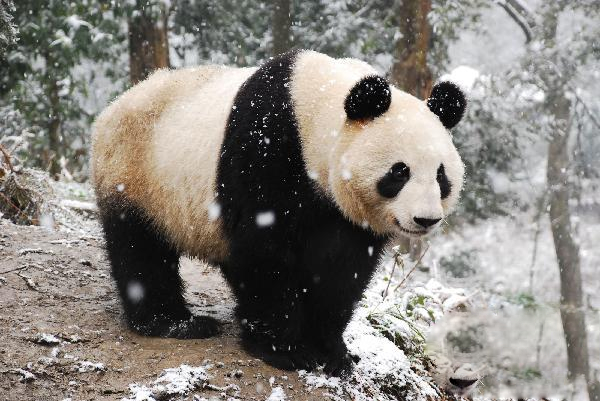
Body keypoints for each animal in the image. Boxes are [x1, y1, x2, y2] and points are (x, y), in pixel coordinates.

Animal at [91, 50, 466, 376]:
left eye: (441, 175)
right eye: (399, 172)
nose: (426, 219)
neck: (313, 114)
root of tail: (112, 108)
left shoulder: (342, 215)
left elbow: (340, 270)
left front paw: (333, 352)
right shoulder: (267, 152)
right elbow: (264, 254)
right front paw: (285, 350)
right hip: (136, 170)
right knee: (140, 249)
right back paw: (175, 323)